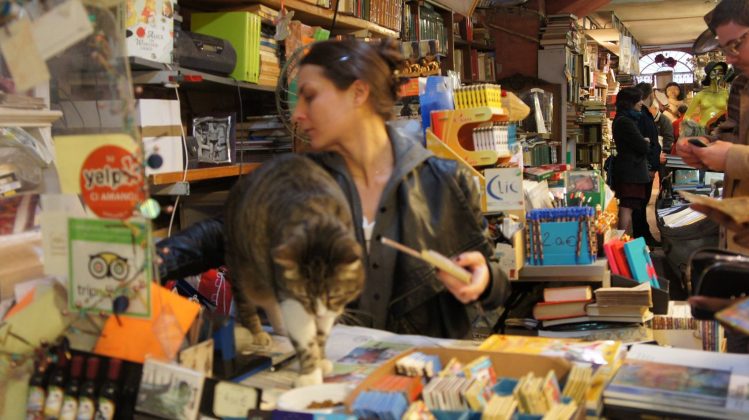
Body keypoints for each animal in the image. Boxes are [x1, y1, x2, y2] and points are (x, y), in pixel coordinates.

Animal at [224, 154, 364, 388]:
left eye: (334, 295)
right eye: (304, 296)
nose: (317, 314)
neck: (318, 220)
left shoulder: (328, 309)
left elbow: (321, 335)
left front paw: (321, 359)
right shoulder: (293, 301)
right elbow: (306, 341)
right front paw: (310, 375)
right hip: (242, 269)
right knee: (249, 302)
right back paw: (258, 333)